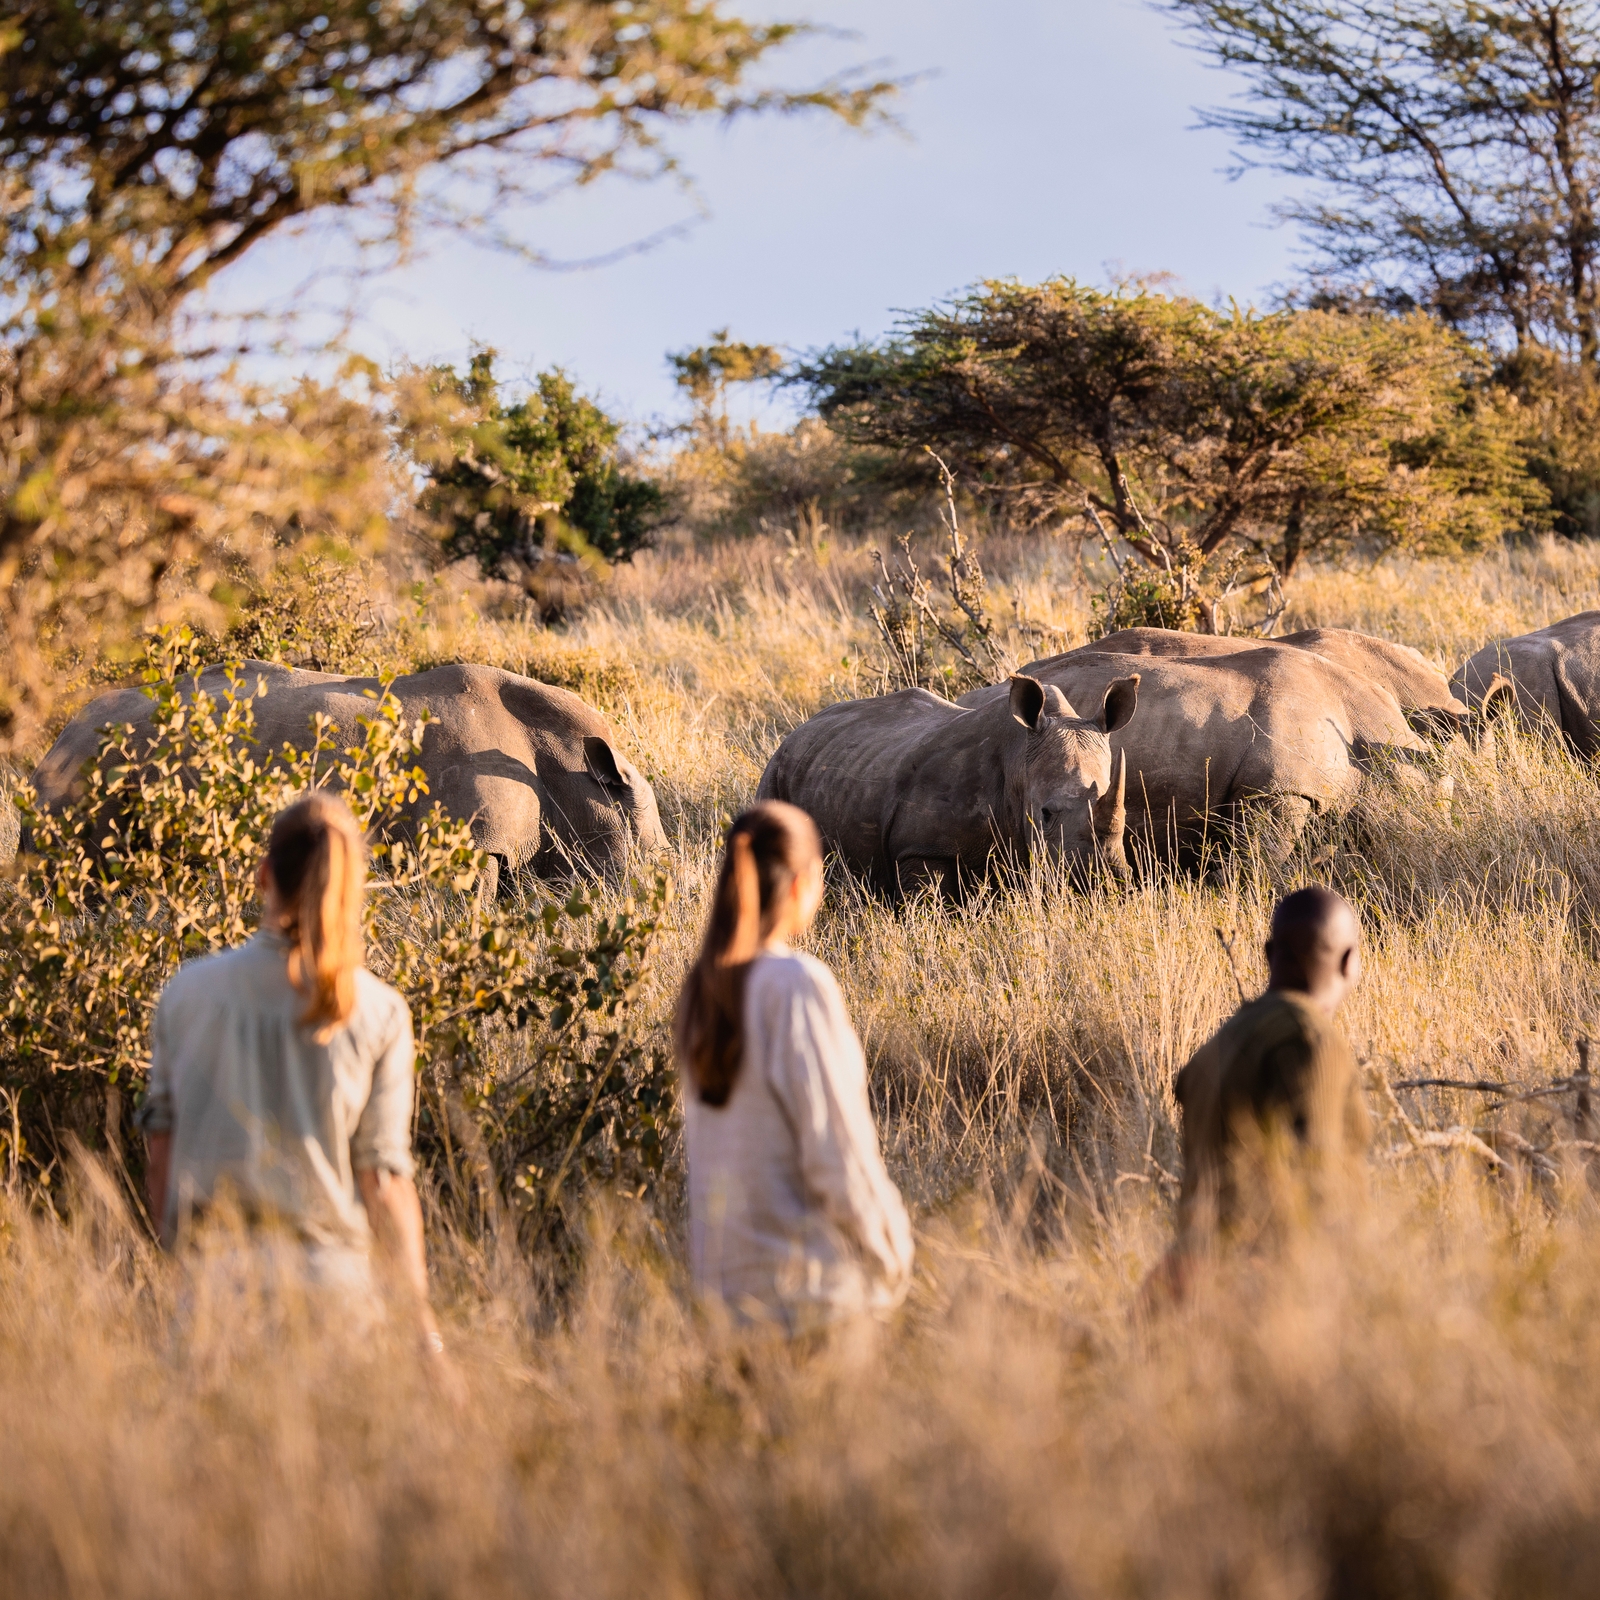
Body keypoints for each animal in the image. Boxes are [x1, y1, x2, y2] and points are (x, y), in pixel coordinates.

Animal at [756, 673, 1140, 897]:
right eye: (1045, 813)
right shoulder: (922, 848)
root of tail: (797, 731)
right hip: (775, 775)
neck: (1019, 758)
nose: (1106, 883)